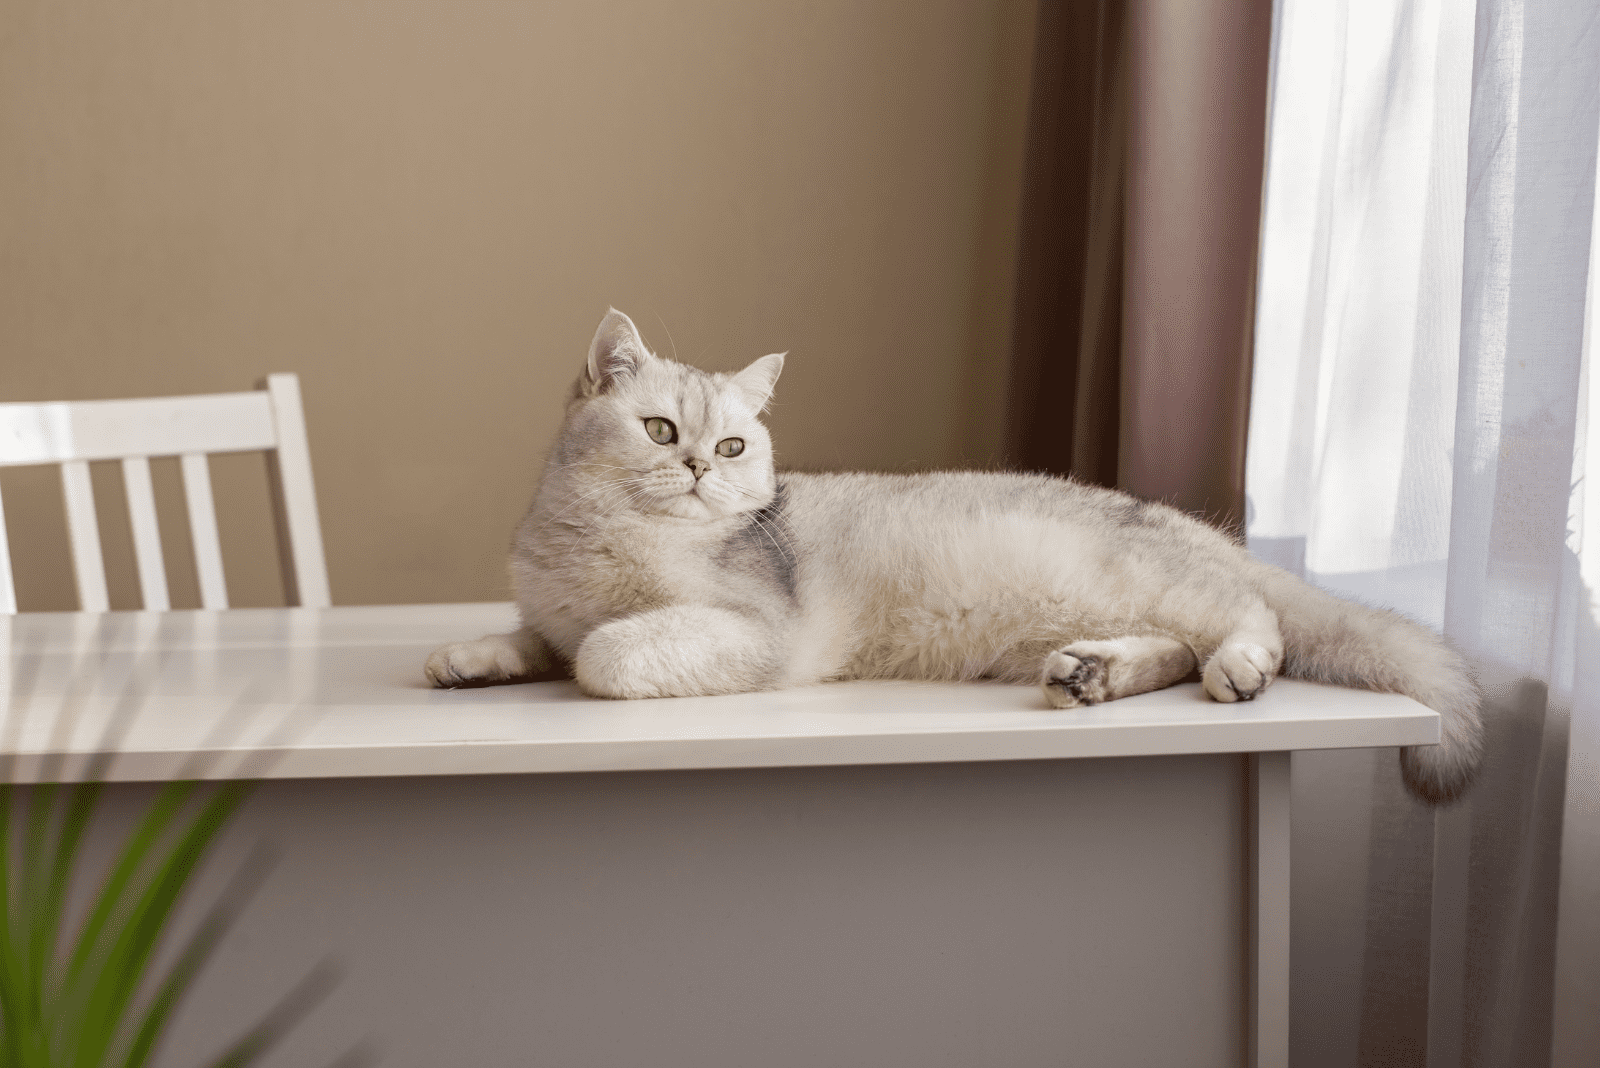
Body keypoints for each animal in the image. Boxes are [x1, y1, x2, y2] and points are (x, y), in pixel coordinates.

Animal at [428, 308, 1484, 799]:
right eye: (657, 430)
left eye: (729, 448)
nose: (693, 467)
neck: (593, 542)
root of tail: (1185, 524)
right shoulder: (549, 611)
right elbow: (536, 639)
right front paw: (467, 658)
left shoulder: (753, 631)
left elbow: (604, 655)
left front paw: (585, 655)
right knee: (1173, 647)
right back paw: (1092, 676)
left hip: (1164, 581)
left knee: (1245, 619)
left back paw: (1241, 669)